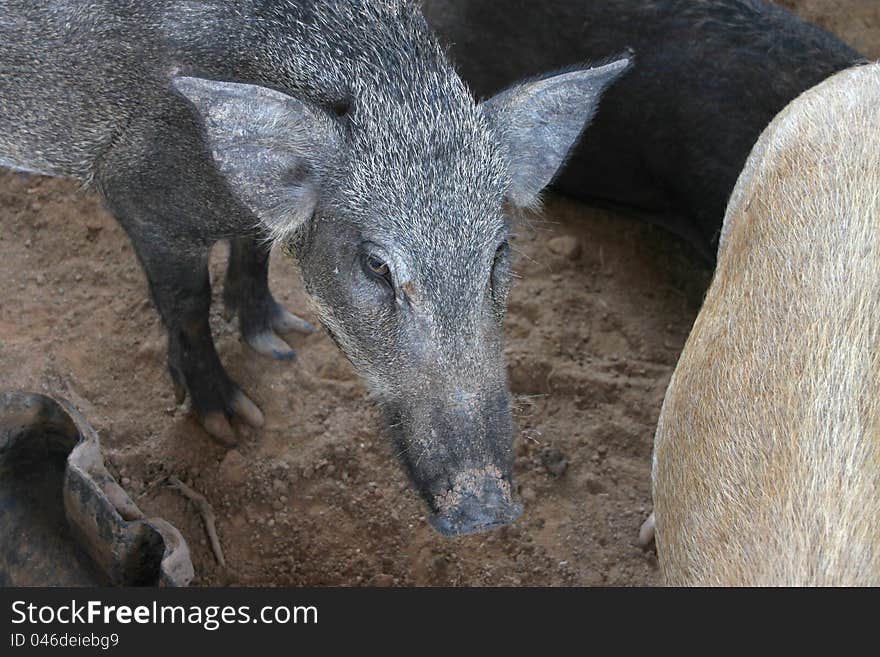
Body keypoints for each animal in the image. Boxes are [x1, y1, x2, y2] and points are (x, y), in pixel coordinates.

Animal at [0, 0, 632, 532]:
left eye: (498, 252)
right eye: (376, 265)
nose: (486, 510)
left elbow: (254, 250)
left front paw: (282, 341)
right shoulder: (139, 195)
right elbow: (187, 306)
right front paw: (233, 425)